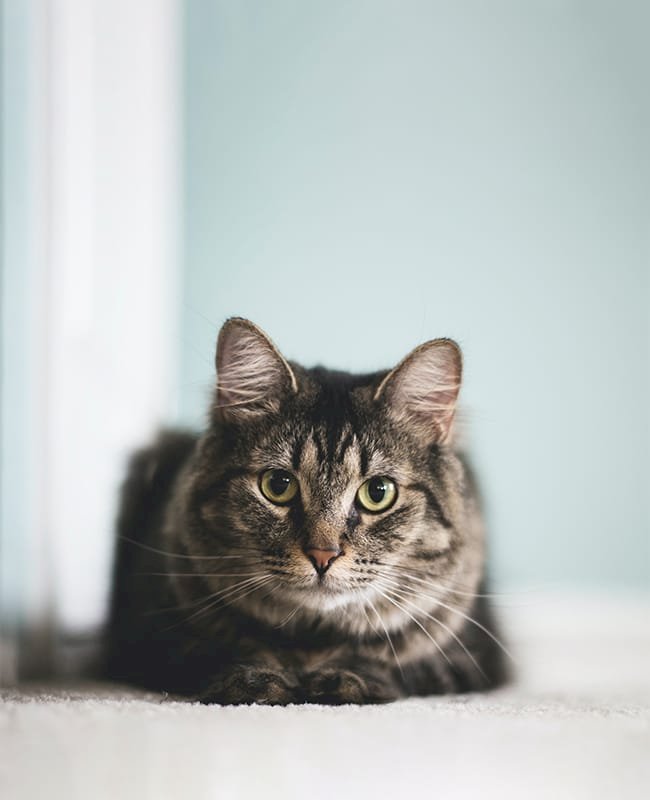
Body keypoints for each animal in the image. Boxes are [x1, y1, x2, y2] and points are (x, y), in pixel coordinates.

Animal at [106, 316, 506, 704]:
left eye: (378, 492)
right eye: (278, 485)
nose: (322, 554)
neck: (311, 644)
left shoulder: (468, 656)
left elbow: (385, 663)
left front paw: (342, 679)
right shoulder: (146, 637)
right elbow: (223, 651)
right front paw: (256, 681)